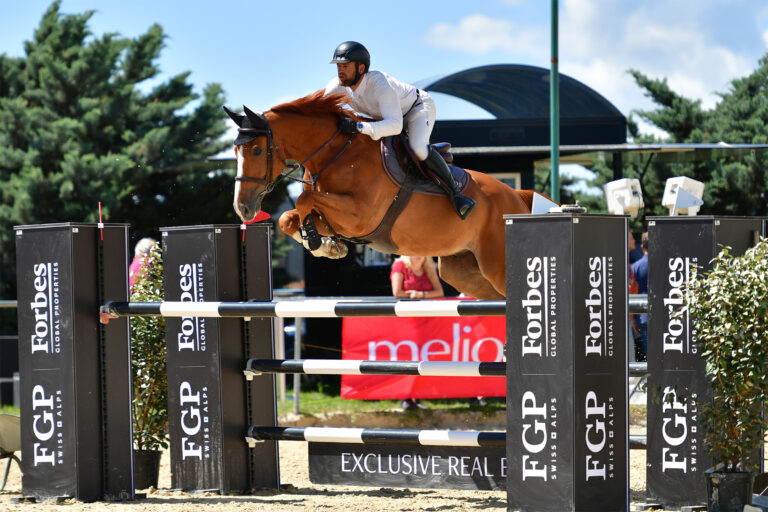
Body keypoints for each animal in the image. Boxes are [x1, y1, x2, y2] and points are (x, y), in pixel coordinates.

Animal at [225, 91, 536, 300]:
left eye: (256, 150)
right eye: (235, 151)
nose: (243, 208)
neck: (337, 155)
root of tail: (516, 197)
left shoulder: (359, 216)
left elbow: (303, 201)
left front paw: (317, 241)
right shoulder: (340, 220)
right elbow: (289, 217)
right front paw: (326, 246)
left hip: (497, 266)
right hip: (464, 272)